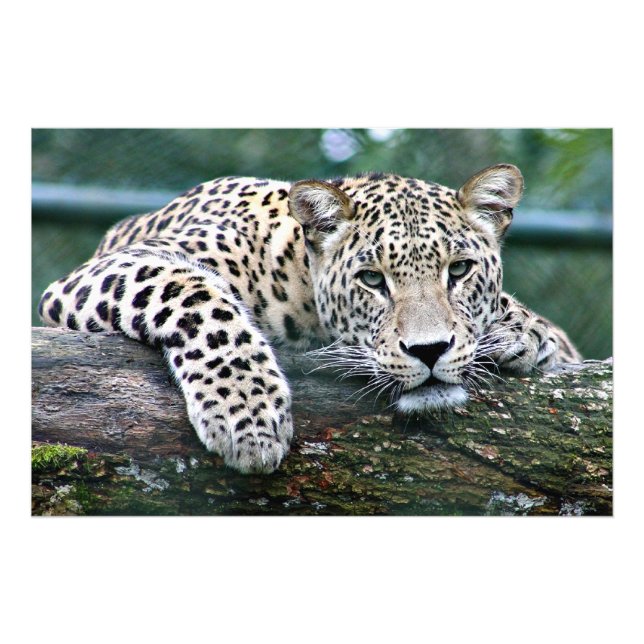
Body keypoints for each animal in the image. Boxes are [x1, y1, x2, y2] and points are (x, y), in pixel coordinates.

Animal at [39, 163, 581, 474]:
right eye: (372, 279)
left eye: (460, 270)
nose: (429, 351)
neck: (296, 276)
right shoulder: (111, 269)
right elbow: (197, 296)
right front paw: (248, 415)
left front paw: (523, 332)